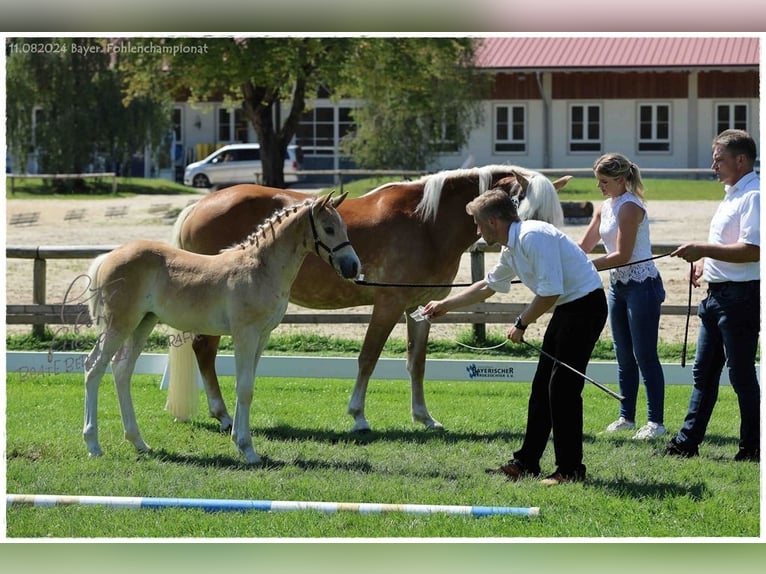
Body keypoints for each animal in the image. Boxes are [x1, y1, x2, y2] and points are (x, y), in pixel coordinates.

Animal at [83, 191, 360, 466]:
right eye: (328, 228)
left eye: (345, 227)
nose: (353, 267)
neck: (260, 268)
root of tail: (107, 257)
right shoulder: (245, 334)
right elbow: (244, 388)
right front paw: (248, 450)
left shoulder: (262, 336)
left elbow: (247, 386)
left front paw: (239, 441)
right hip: (119, 324)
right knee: (94, 368)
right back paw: (94, 445)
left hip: (143, 323)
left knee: (122, 370)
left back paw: (139, 443)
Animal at [165, 164, 568, 434]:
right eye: (525, 212)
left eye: (554, 217)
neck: (426, 224)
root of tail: (198, 205)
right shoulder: (387, 306)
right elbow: (368, 359)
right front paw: (358, 416)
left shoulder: (418, 308)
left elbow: (417, 364)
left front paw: (425, 417)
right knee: (204, 350)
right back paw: (223, 415)